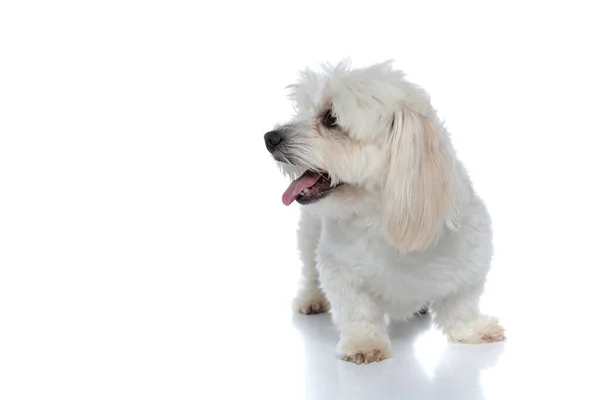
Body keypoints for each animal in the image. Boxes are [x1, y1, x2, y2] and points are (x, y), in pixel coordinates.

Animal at [264, 59, 504, 362]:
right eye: (303, 109)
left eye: (330, 118)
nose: (270, 137)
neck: (381, 217)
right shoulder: (339, 267)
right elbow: (357, 309)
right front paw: (364, 343)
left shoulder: (469, 256)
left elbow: (461, 304)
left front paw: (473, 330)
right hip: (309, 234)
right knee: (309, 271)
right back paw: (311, 299)